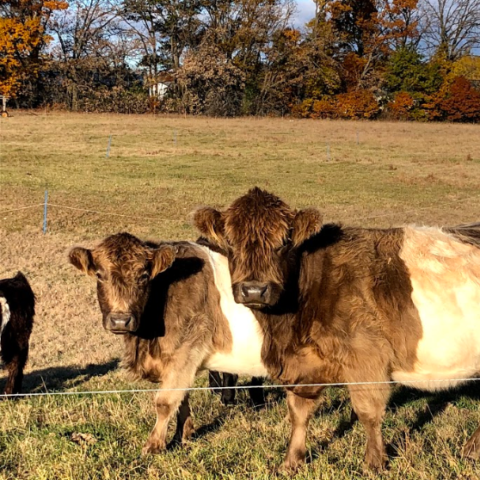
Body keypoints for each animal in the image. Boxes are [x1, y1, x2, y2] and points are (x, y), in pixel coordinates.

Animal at [69, 232, 268, 454]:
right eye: (99, 275)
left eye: (144, 276)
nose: (120, 320)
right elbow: (182, 397)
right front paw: (183, 435)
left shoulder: (186, 349)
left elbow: (165, 401)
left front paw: (154, 445)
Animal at [193, 188, 480, 472]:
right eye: (230, 242)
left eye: (285, 241)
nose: (254, 289)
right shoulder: (304, 366)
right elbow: (298, 413)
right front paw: (290, 462)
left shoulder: (367, 359)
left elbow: (368, 412)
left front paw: (374, 463)